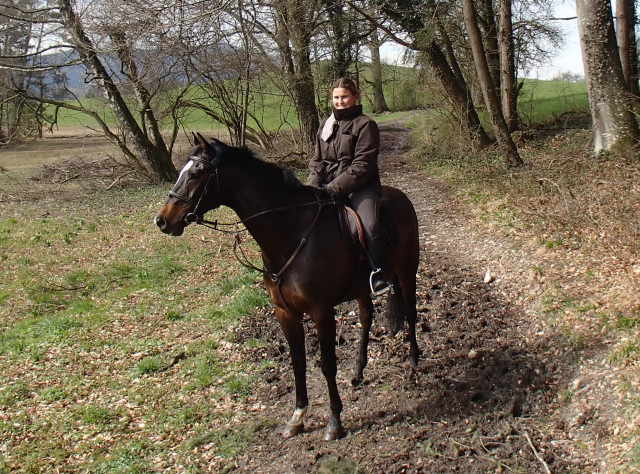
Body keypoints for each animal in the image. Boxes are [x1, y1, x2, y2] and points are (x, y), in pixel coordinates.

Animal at [156, 132, 422, 440]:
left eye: (197, 173)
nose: (162, 220)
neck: (291, 232)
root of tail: (400, 197)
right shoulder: (284, 312)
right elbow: (298, 363)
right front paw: (297, 417)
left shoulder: (321, 311)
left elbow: (327, 365)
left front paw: (334, 422)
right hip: (360, 287)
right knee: (367, 317)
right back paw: (358, 371)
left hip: (407, 270)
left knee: (411, 311)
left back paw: (413, 361)